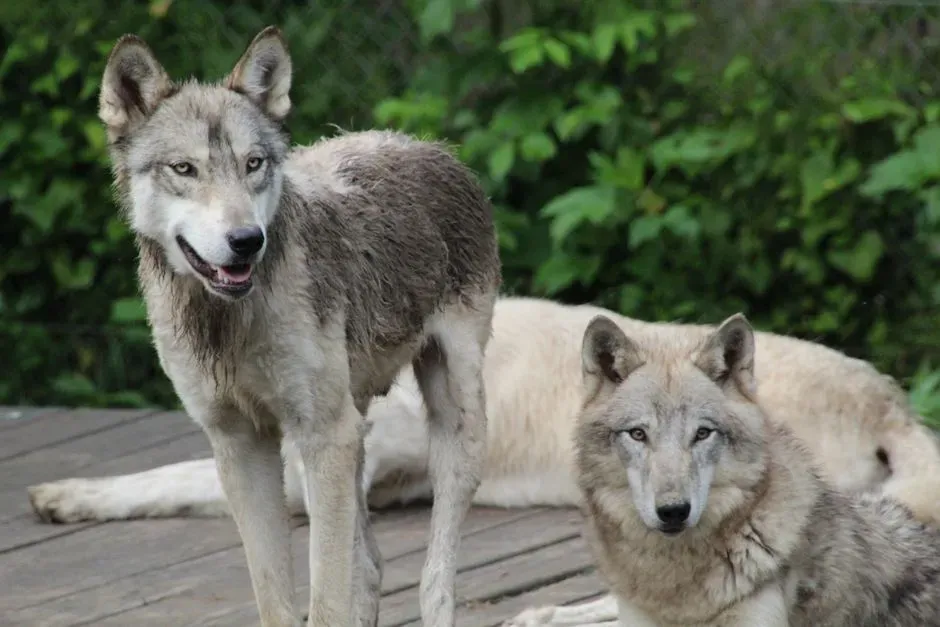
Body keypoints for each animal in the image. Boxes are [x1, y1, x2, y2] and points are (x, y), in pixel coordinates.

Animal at [94, 25, 500, 627]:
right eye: (185, 169)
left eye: (254, 164)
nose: (245, 241)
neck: (229, 323)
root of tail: (428, 145)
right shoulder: (242, 445)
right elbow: (277, 597)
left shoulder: (321, 435)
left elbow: (326, 599)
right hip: (348, 438)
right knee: (371, 567)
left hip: (449, 427)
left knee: (434, 581)